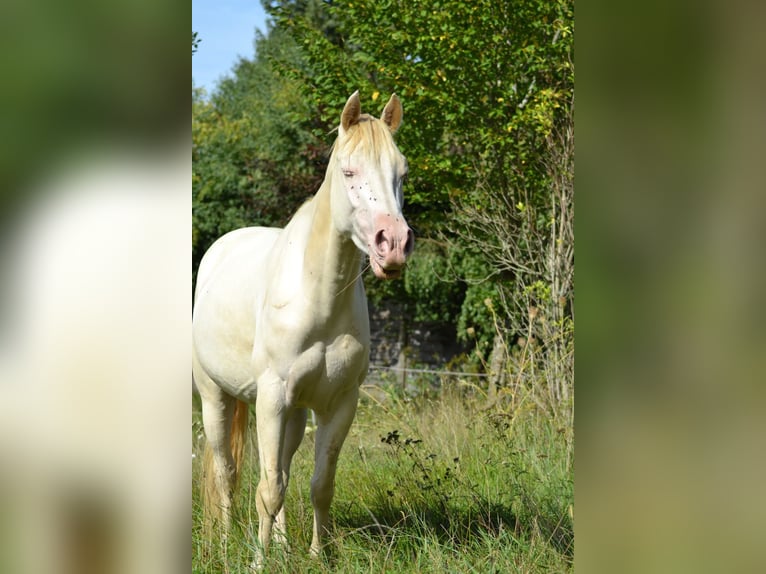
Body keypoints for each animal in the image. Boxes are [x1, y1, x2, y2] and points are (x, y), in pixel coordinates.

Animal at [192, 91, 414, 566]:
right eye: (349, 171)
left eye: (401, 172)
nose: (394, 244)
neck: (317, 301)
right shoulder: (272, 398)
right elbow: (267, 489)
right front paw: (257, 563)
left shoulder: (339, 404)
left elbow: (317, 485)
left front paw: (318, 556)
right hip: (215, 397)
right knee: (227, 472)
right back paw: (225, 545)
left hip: (293, 413)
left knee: (282, 470)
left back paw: (281, 546)